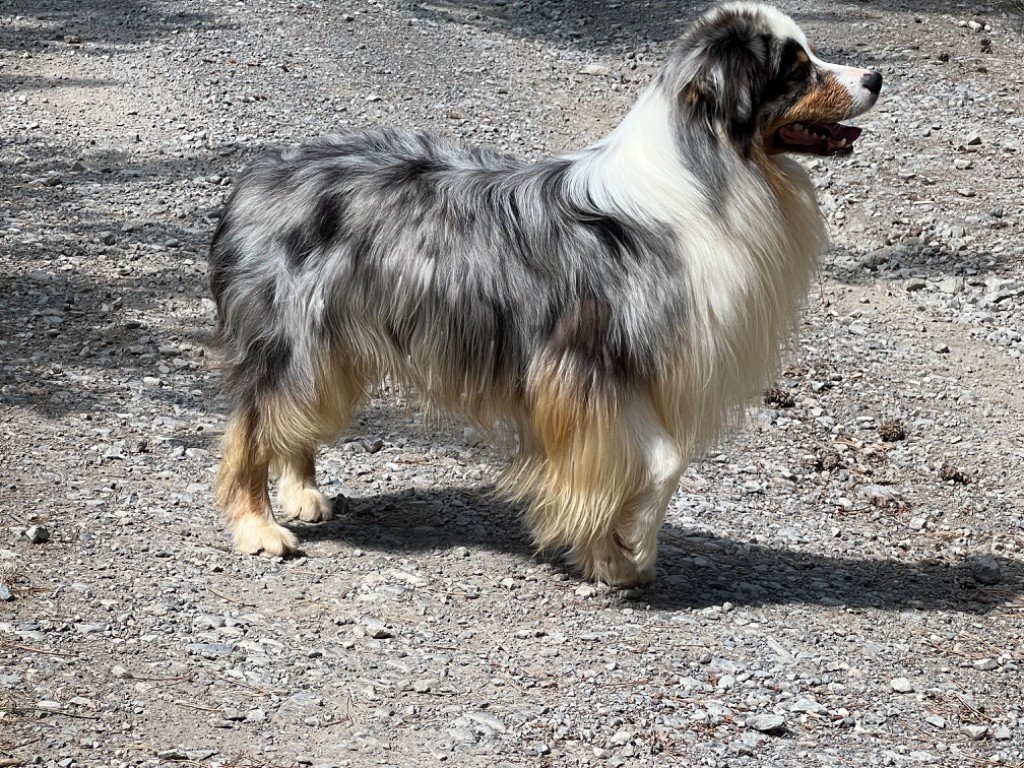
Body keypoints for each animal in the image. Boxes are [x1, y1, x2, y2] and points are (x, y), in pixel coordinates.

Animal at [207, 3, 880, 585]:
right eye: (794, 68)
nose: (875, 76)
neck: (707, 172)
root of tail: (258, 176)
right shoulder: (588, 364)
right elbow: (661, 463)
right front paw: (629, 547)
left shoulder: (618, 376)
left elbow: (647, 463)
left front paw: (611, 556)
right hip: (293, 340)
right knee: (252, 426)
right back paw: (257, 526)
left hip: (332, 350)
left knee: (295, 417)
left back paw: (301, 493)